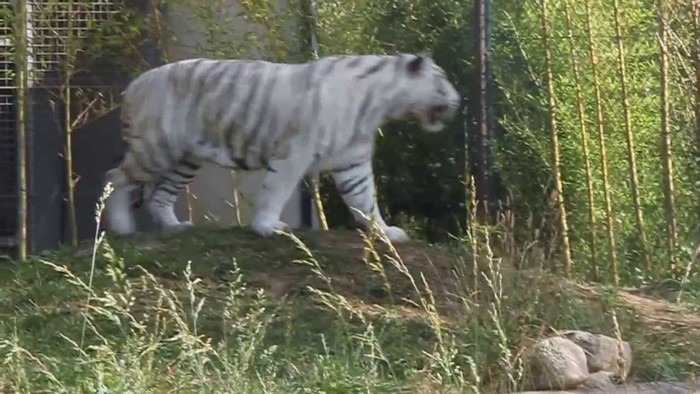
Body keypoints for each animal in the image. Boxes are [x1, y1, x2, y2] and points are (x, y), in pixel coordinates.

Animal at [104, 52, 462, 243]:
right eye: (442, 81)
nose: (459, 101)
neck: (380, 105)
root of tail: (132, 85)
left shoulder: (353, 160)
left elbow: (365, 199)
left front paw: (385, 232)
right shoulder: (294, 153)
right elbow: (275, 191)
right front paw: (268, 227)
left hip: (184, 159)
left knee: (159, 195)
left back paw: (175, 227)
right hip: (155, 147)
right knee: (115, 177)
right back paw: (122, 227)